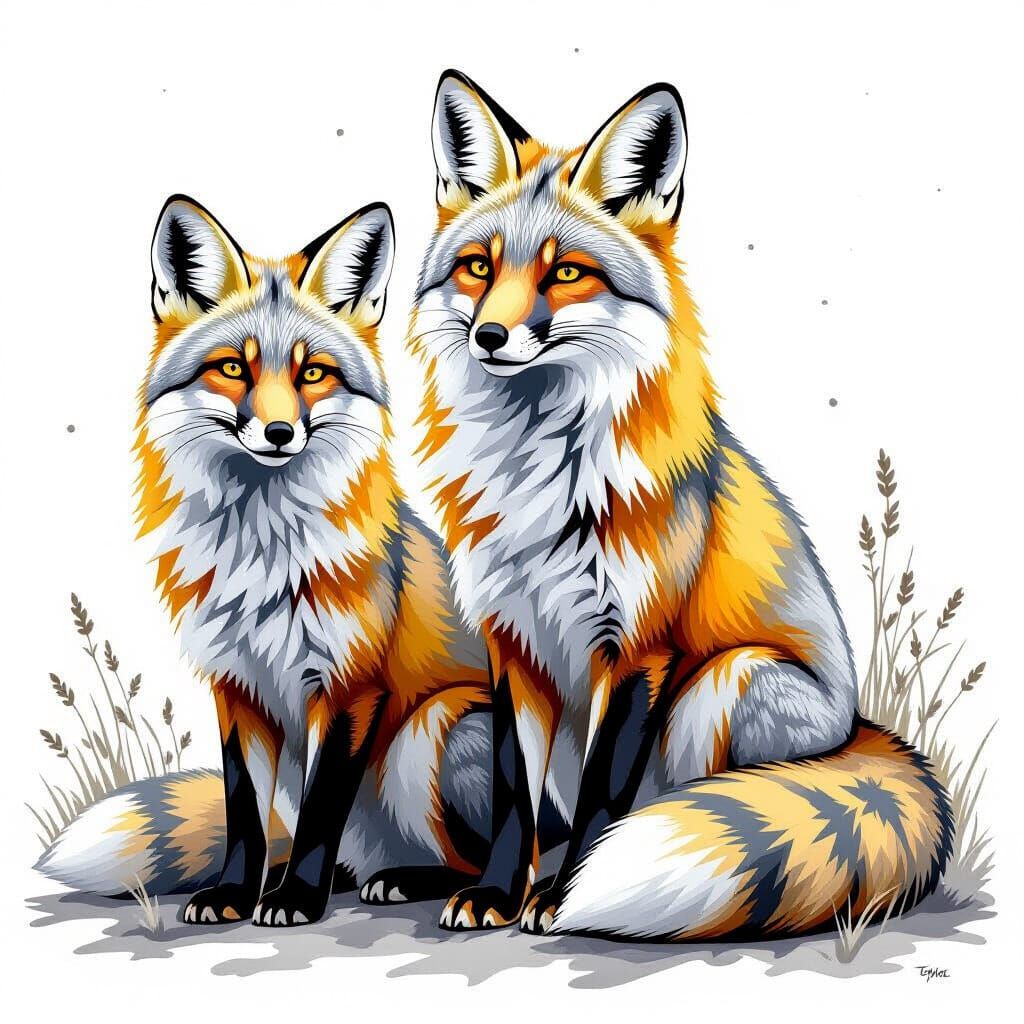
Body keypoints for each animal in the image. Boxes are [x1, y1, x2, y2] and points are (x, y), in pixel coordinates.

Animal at [36, 195, 500, 926]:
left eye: (313, 373)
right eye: (234, 368)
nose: (280, 433)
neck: (260, 556)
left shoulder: (348, 686)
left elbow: (319, 813)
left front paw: (296, 900)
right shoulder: (236, 687)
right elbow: (243, 814)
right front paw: (236, 892)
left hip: (436, 728)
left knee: (471, 859)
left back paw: (409, 880)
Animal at [407, 70, 954, 940]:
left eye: (567, 273)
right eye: (477, 267)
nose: (490, 335)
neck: (539, 479)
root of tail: (863, 728)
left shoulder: (639, 645)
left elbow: (605, 795)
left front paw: (564, 898)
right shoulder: (511, 643)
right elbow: (512, 801)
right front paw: (496, 893)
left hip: (724, 683)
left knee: (687, 803)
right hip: (451, 724)